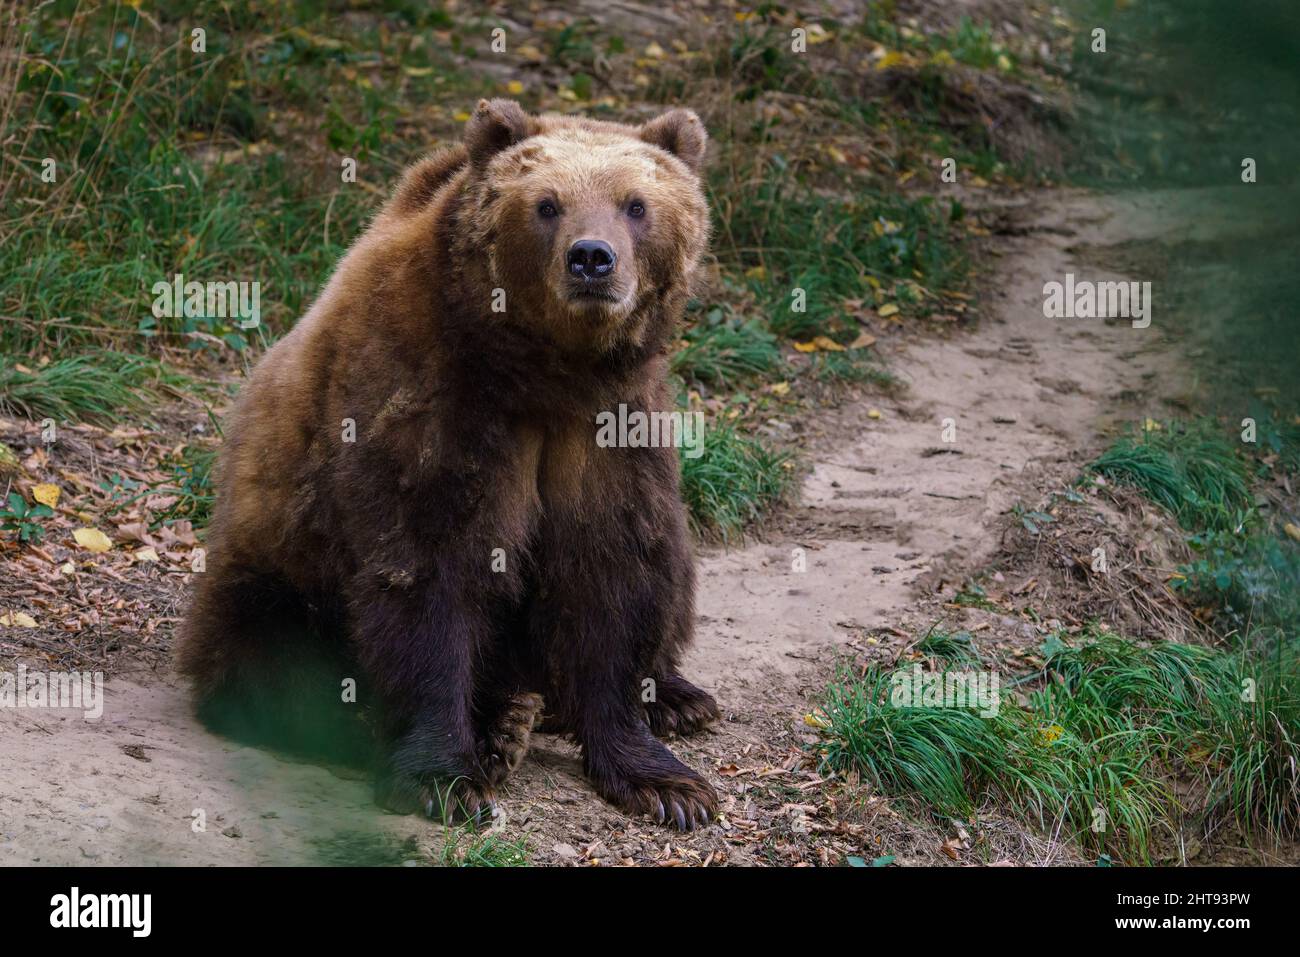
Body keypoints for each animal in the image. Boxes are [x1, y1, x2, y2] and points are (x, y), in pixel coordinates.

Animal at [176, 99, 721, 831]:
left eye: (635, 204)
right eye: (546, 204)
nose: (591, 258)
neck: (544, 371)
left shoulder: (610, 424)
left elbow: (614, 567)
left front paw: (665, 782)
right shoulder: (429, 396)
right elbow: (428, 569)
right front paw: (447, 777)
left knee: (675, 570)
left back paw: (673, 697)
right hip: (271, 579)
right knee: (283, 670)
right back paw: (495, 725)